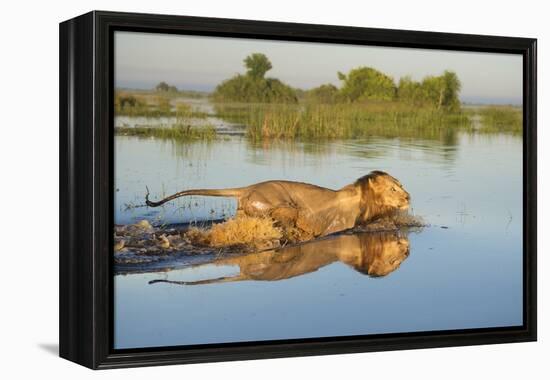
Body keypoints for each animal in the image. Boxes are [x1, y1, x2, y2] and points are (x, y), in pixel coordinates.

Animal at [144, 171, 412, 239]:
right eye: (393, 189)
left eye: (401, 185)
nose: (409, 197)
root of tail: (247, 187)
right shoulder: (338, 227)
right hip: (282, 205)